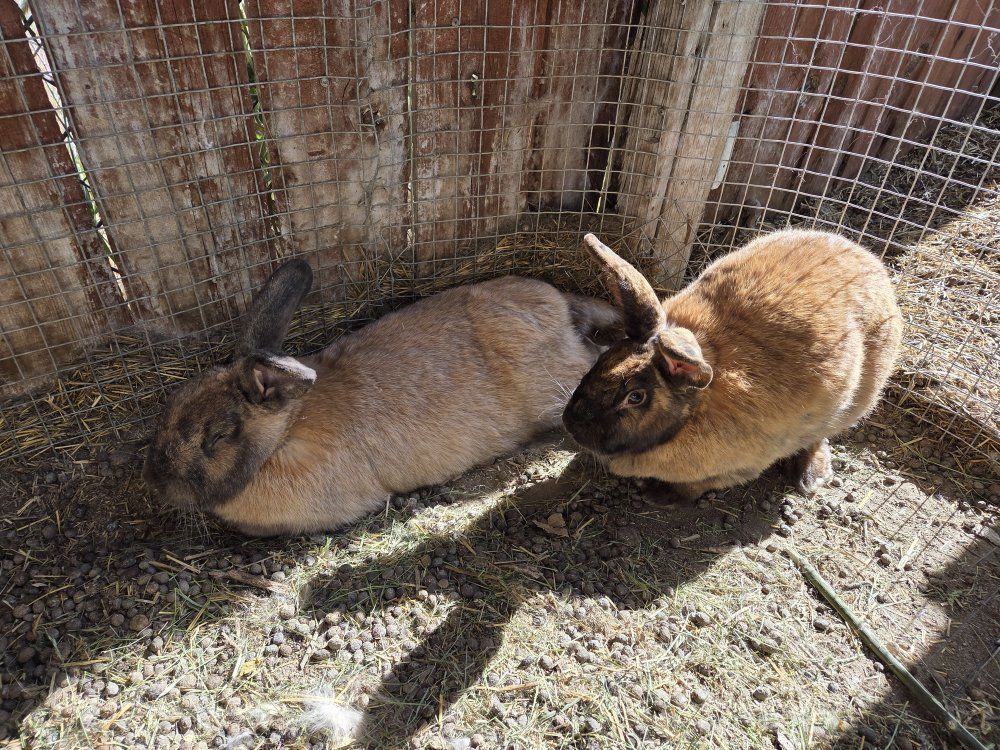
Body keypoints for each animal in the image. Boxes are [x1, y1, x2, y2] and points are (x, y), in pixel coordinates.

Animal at [562, 229, 903, 503]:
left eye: (635, 397)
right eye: (605, 357)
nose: (571, 423)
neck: (695, 407)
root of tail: (869, 262)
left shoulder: (739, 467)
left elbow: (694, 487)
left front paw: (658, 495)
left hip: (848, 407)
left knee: (817, 438)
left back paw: (810, 478)